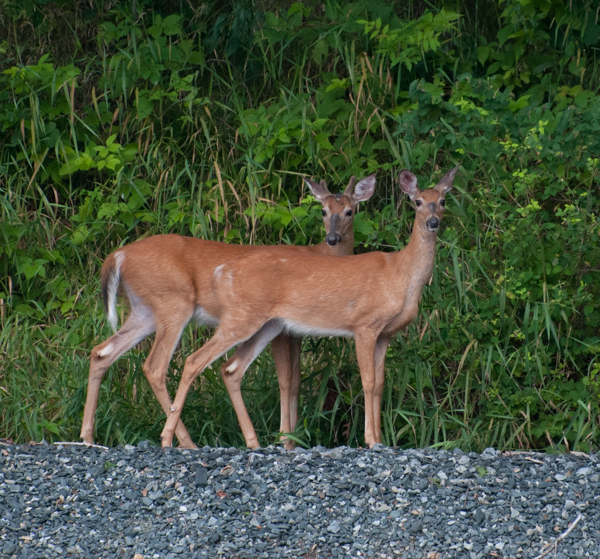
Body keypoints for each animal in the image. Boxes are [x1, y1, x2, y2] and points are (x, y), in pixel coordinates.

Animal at [79, 175, 376, 450]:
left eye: (350, 211)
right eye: (323, 211)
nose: (333, 238)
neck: (321, 254)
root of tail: (118, 255)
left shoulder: (293, 332)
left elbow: (295, 382)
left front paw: (290, 440)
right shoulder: (283, 330)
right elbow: (286, 381)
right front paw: (285, 440)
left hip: (144, 311)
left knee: (102, 352)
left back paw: (88, 436)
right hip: (174, 303)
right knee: (155, 366)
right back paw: (184, 441)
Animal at [159, 166, 460, 450]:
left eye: (443, 201)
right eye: (418, 201)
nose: (433, 222)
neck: (401, 275)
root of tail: (222, 271)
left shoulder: (385, 333)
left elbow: (380, 385)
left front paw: (380, 439)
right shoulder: (364, 325)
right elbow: (368, 382)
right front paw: (371, 439)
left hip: (266, 325)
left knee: (231, 369)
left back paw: (252, 441)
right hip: (242, 318)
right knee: (193, 361)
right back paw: (168, 439)